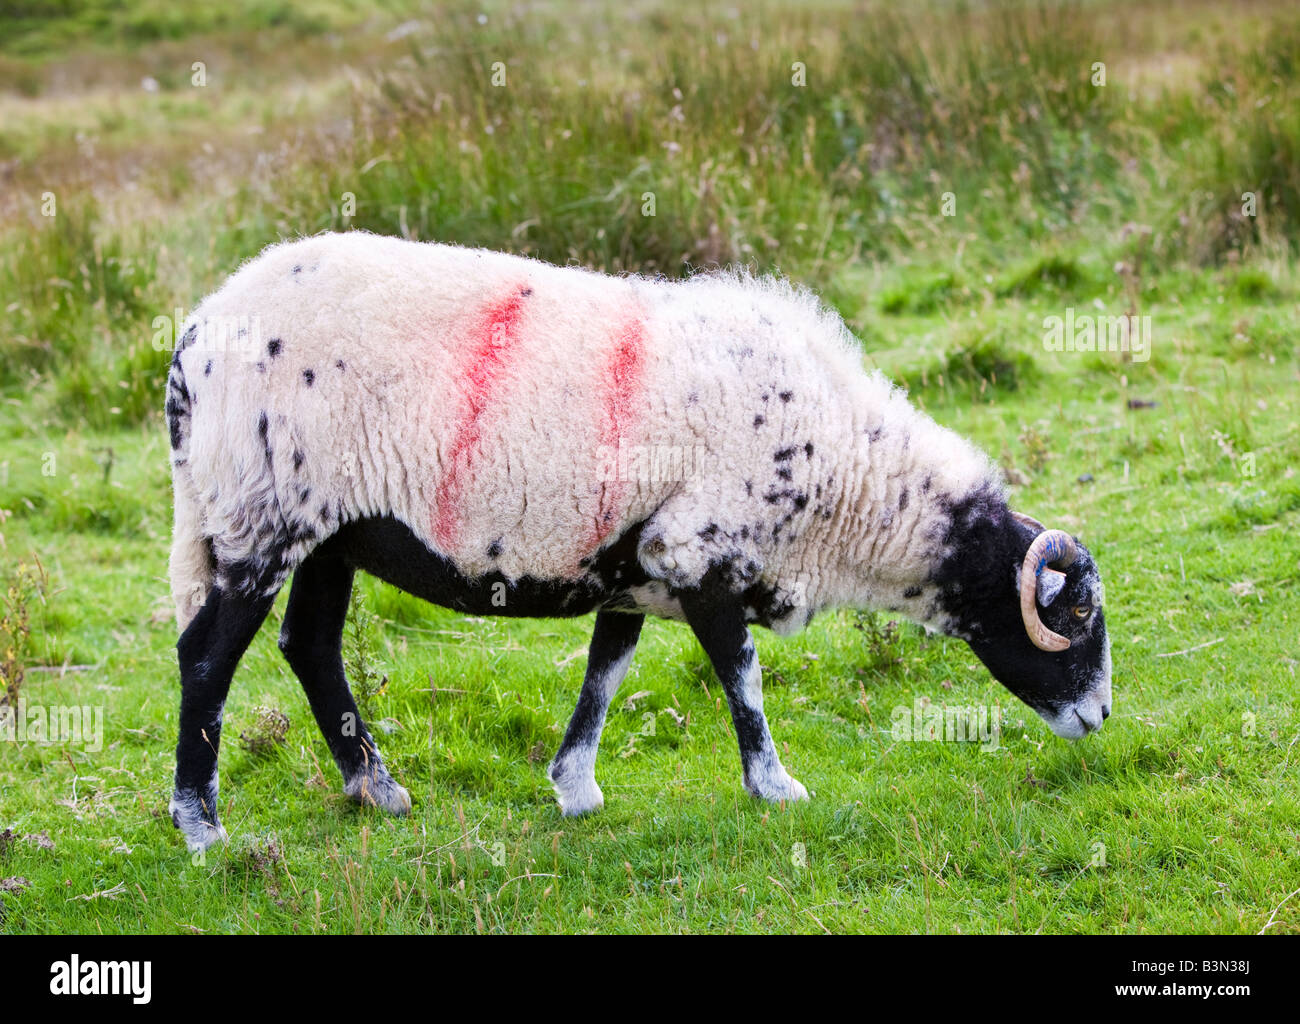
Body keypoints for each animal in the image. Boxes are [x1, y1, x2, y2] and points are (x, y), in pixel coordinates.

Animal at [167, 232, 1112, 847]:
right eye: (1076, 620)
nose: (1099, 718)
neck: (843, 479)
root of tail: (194, 337)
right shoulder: (704, 553)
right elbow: (742, 680)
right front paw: (776, 787)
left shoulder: (634, 566)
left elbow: (605, 675)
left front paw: (575, 789)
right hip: (259, 515)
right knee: (208, 659)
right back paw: (202, 826)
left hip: (326, 530)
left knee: (310, 644)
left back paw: (377, 790)